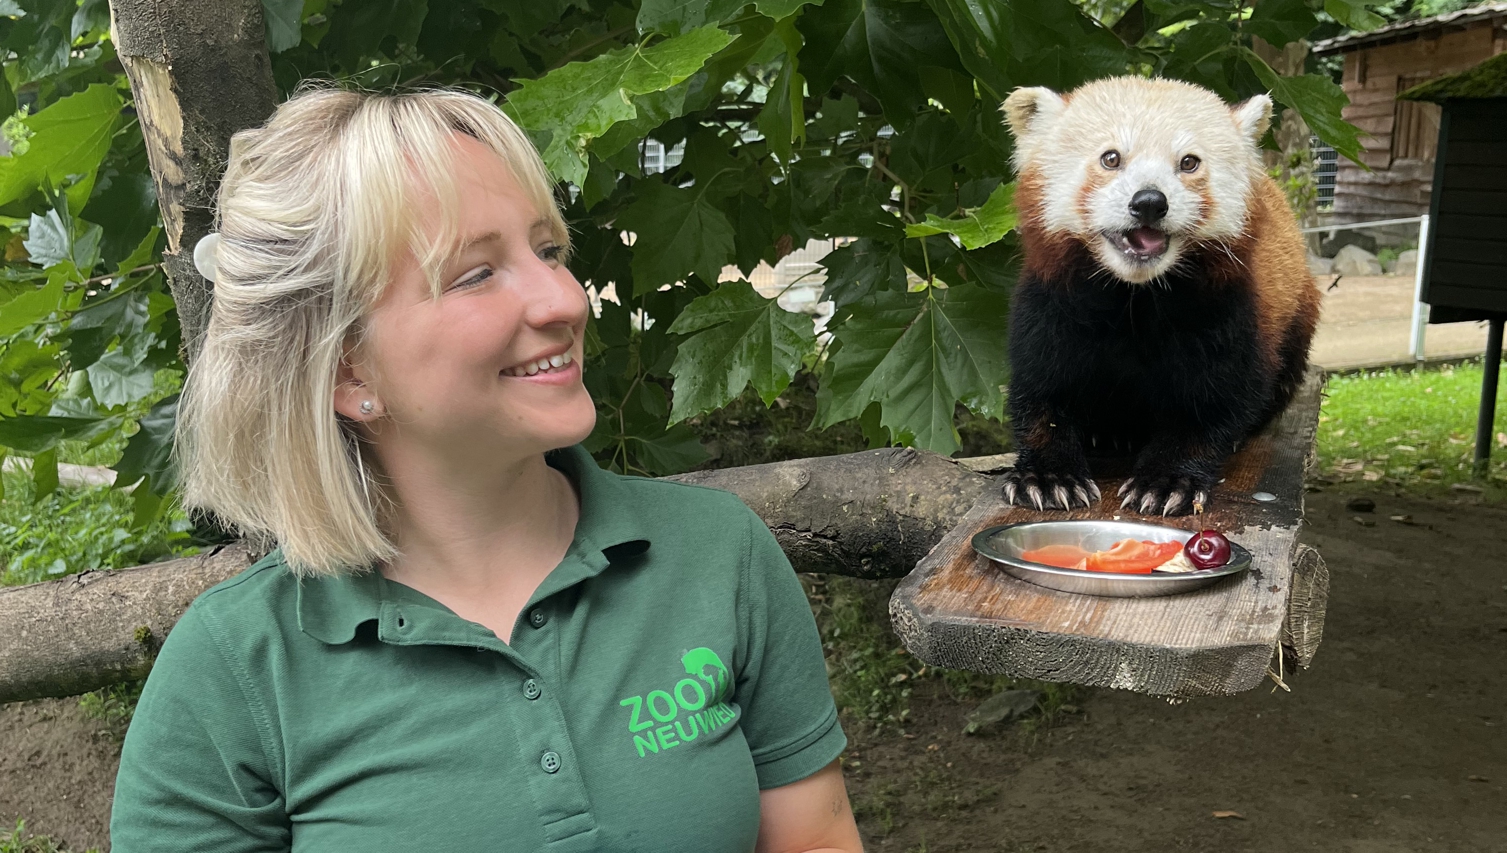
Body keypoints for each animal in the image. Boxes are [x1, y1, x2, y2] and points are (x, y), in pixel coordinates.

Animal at [997, 76, 1322, 516]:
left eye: (1189, 162)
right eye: (1111, 158)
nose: (1150, 201)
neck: (1134, 297)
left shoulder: (1223, 311)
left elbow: (1212, 402)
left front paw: (1167, 480)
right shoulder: (1051, 305)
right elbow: (1041, 391)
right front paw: (1049, 476)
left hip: (1297, 314)